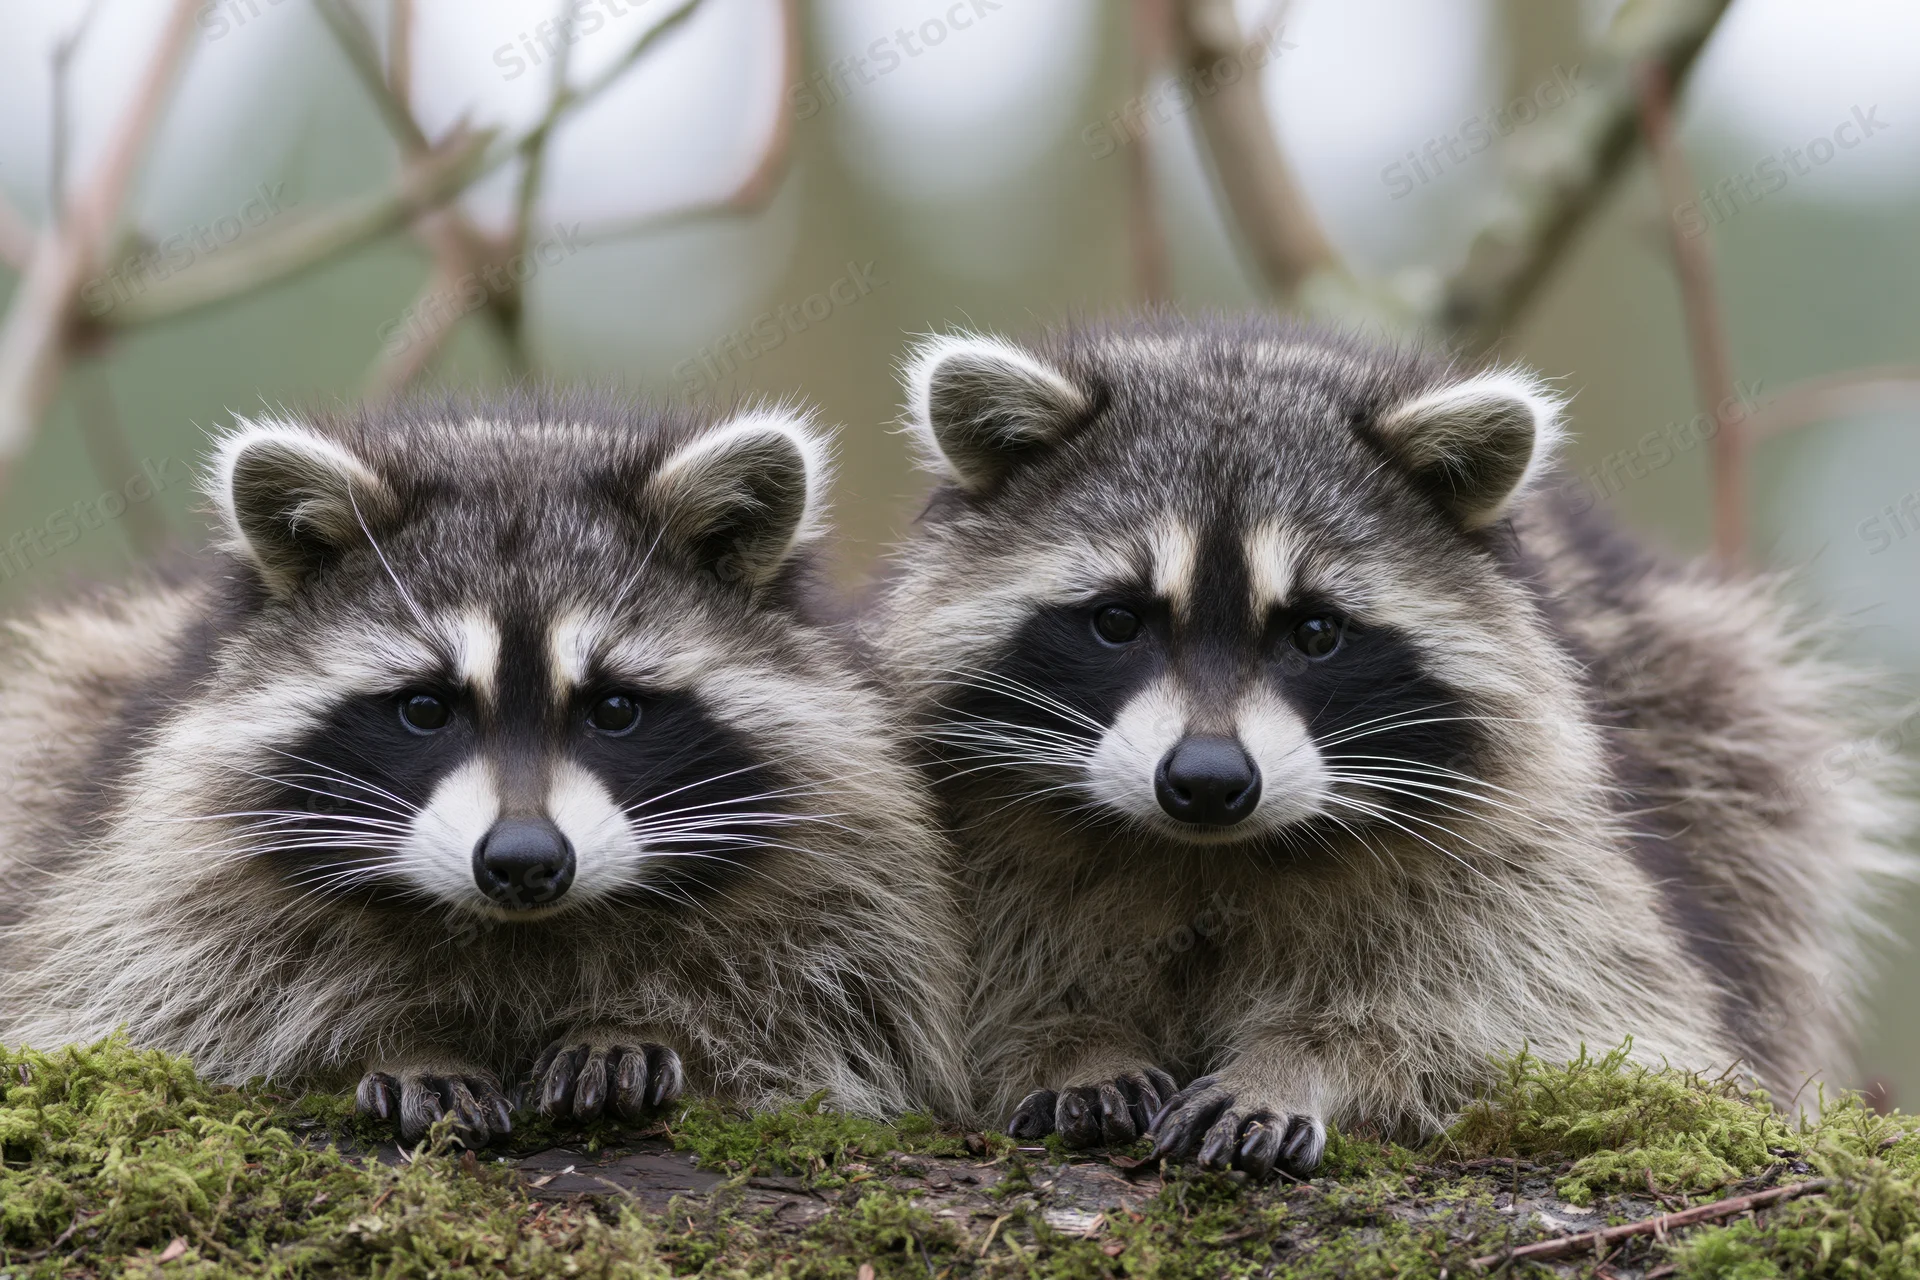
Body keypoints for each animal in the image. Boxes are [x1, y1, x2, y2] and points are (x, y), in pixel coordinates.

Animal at [0, 392, 968, 1143]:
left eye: (614, 709)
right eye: (427, 708)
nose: (523, 862)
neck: (521, 933)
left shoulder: (846, 879)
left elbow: (825, 1013)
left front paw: (637, 1026)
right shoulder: (149, 877)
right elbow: (185, 1003)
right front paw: (396, 1043)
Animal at [869, 314, 1909, 1180]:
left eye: (1316, 631)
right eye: (1119, 621)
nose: (1206, 781)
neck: (1209, 857)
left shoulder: (1531, 863)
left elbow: (1578, 1031)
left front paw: (1306, 1057)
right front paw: (1069, 1037)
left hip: (1710, 705)